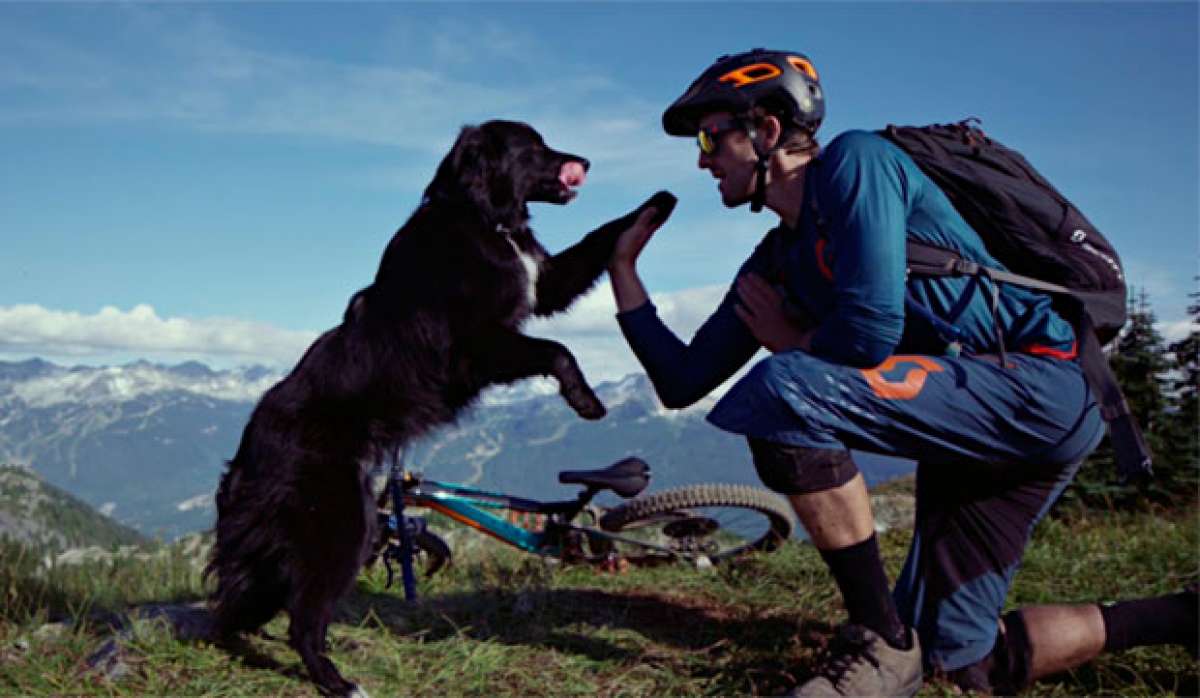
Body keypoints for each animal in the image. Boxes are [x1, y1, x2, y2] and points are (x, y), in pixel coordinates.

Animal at [206, 120, 676, 695]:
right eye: (533, 146)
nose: (583, 162)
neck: (482, 216)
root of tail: (250, 445)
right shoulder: (475, 346)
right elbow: (557, 350)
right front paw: (585, 400)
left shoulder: (541, 284)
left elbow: (600, 236)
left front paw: (658, 203)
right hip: (343, 523)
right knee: (303, 616)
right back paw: (338, 680)